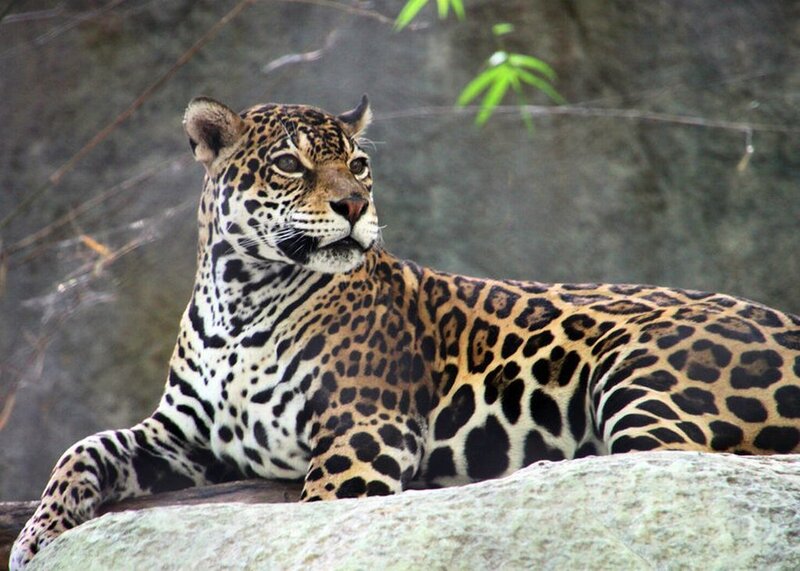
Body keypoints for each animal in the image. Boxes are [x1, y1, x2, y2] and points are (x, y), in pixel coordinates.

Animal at [11, 94, 800, 568]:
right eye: (291, 164)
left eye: (358, 164)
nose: (355, 204)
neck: (242, 297)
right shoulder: (186, 433)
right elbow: (82, 449)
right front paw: (35, 536)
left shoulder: (365, 429)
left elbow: (325, 511)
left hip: (638, 376)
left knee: (670, 474)